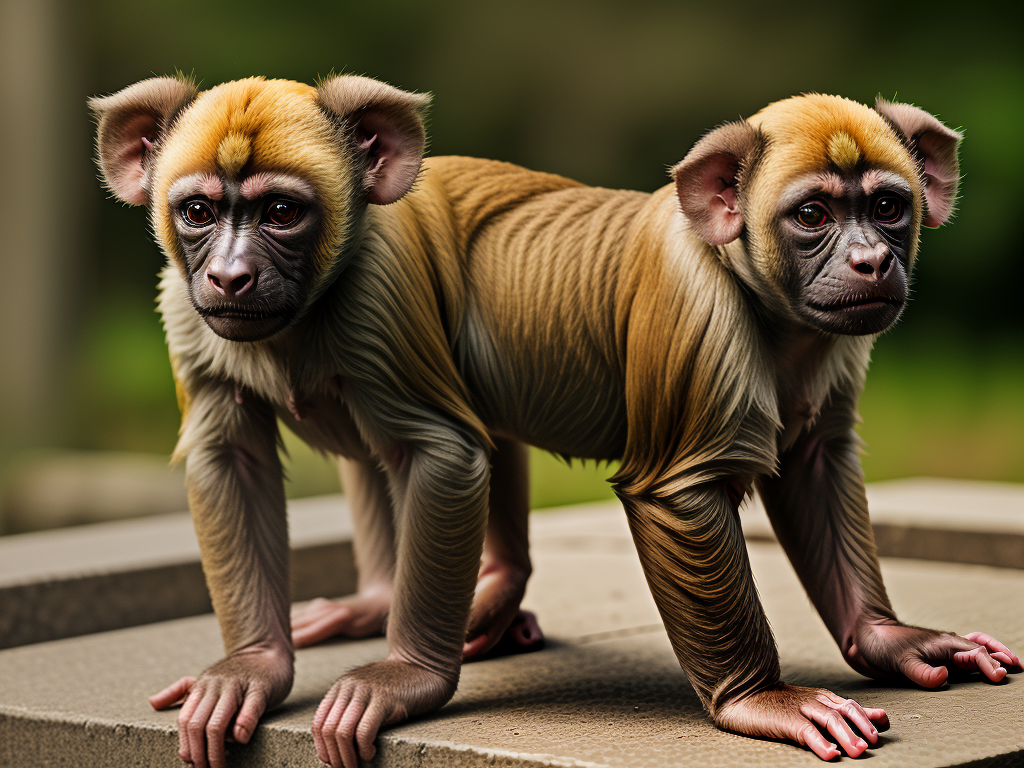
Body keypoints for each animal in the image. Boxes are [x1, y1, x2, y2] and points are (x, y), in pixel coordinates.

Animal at [90, 76, 1020, 768]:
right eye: (815, 216)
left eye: (887, 207)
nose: (869, 261)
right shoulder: (197, 305)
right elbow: (236, 461)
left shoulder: (376, 295)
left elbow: (813, 462)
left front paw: (886, 640)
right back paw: (403, 603)